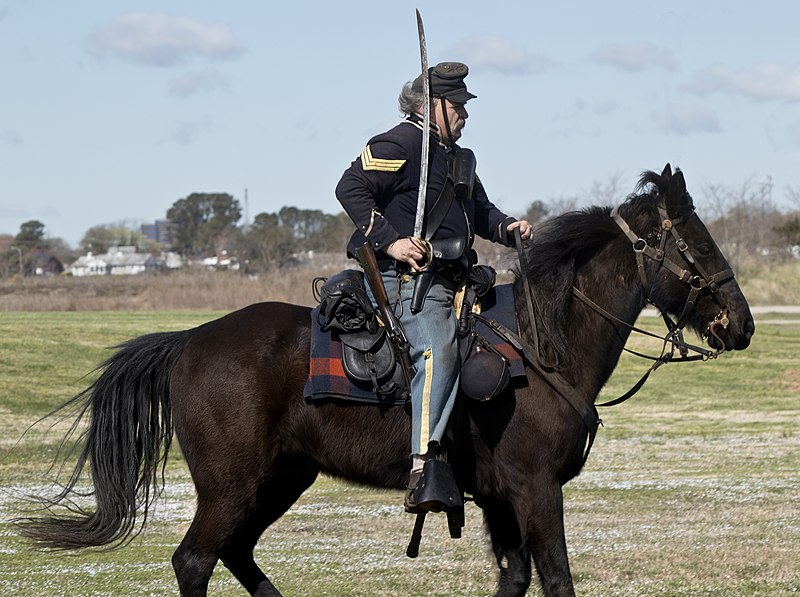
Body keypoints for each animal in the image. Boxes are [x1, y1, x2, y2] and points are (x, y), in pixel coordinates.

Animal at [20, 164, 756, 596]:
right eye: (696, 243)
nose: (742, 324)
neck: (542, 347)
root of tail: (189, 340)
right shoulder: (535, 490)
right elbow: (556, 578)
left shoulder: (499, 500)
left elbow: (515, 578)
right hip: (231, 485)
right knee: (196, 560)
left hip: (280, 478)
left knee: (237, 554)